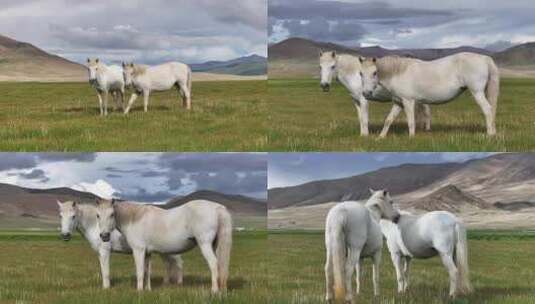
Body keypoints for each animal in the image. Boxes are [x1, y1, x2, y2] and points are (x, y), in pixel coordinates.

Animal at [96, 198, 232, 294]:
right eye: (97, 215)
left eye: (112, 214)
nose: (104, 236)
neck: (134, 219)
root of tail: (217, 208)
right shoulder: (147, 253)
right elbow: (147, 272)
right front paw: (147, 289)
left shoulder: (138, 250)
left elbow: (140, 271)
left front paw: (139, 291)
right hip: (215, 245)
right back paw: (222, 289)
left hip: (205, 244)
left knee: (213, 263)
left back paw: (214, 290)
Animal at [360, 52, 502, 137]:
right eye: (361, 73)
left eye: (375, 73)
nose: (366, 93)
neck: (398, 73)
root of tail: (484, 58)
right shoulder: (398, 102)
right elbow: (389, 120)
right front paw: (381, 137)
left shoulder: (408, 101)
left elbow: (411, 121)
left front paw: (411, 137)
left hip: (477, 92)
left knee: (488, 110)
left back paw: (490, 134)